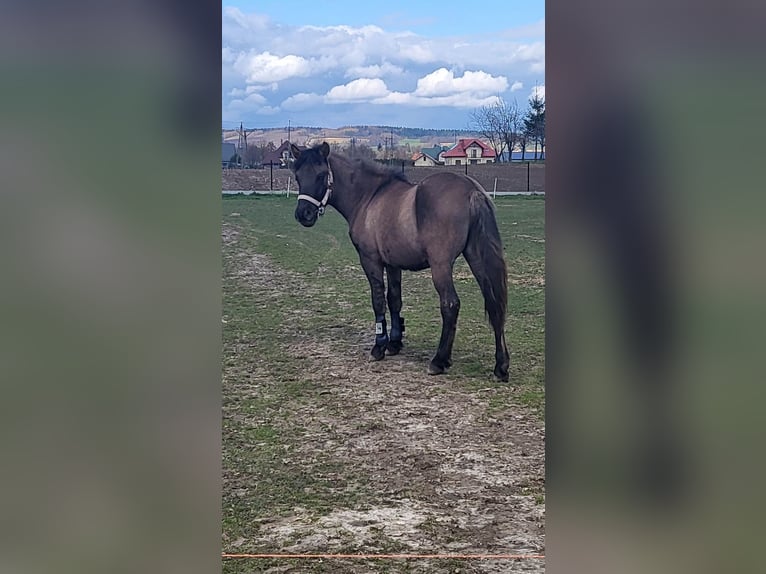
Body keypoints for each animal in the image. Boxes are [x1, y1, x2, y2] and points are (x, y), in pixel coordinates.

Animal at [292, 141, 512, 382]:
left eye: (321, 175)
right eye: (297, 176)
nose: (304, 214)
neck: (369, 197)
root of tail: (471, 191)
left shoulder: (370, 260)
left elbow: (378, 300)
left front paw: (379, 346)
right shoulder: (392, 264)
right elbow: (394, 300)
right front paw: (394, 343)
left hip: (441, 266)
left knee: (451, 304)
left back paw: (439, 361)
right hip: (476, 258)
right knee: (494, 303)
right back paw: (501, 366)